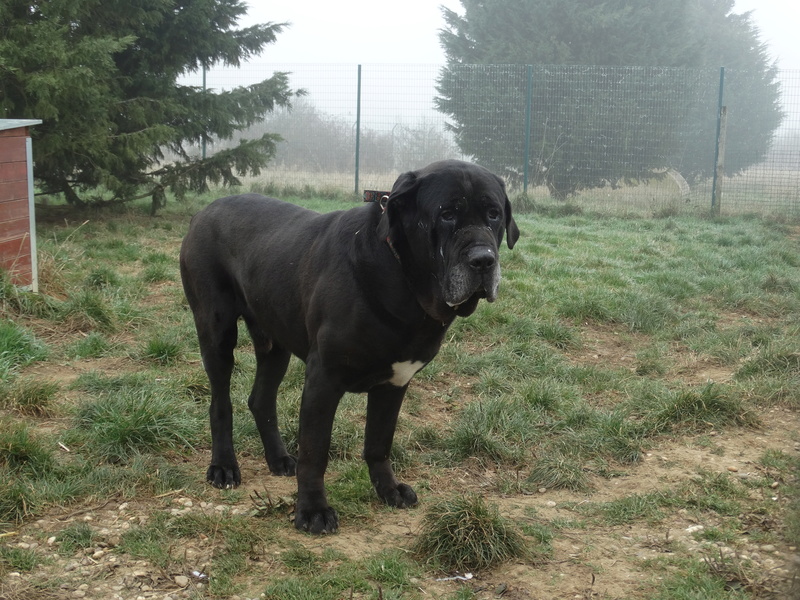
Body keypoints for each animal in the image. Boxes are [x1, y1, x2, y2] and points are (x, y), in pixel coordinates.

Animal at [180, 159, 520, 536]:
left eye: (493, 214)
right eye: (446, 214)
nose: (484, 260)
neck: (403, 278)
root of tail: (202, 212)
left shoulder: (395, 383)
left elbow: (379, 443)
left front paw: (388, 489)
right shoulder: (323, 379)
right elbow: (315, 452)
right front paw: (313, 510)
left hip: (275, 343)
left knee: (261, 400)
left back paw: (279, 458)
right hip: (216, 332)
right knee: (220, 402)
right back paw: (224, 466)